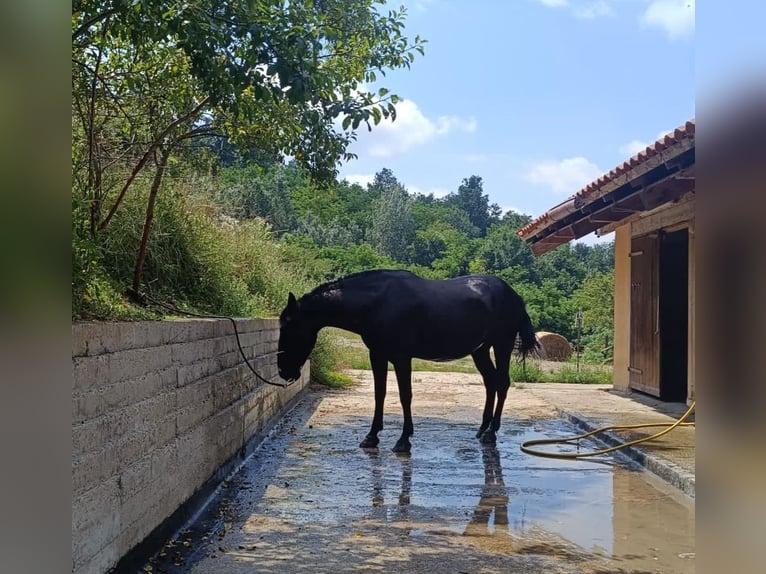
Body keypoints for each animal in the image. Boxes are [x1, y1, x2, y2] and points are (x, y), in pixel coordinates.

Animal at [278, 270, 540, 454]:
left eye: (289, 328)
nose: (283, 371)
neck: (379, 303)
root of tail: (515, 296)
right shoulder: (378, 355)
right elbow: (380, 393)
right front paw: (371, 436)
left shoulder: (402, 358)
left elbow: (405, 396)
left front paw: (403, 440)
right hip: (480, 351)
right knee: (490, 383)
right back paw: (482, 429)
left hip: (502, 344)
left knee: (502, 383)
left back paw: (491, 433)